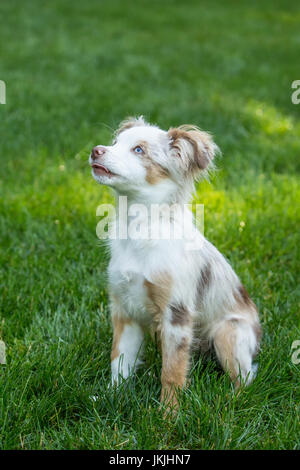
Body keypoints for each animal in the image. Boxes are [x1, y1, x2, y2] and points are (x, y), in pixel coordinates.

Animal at [89, 116, 260, 412]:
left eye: (139, 150)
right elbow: (120, 360)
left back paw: (227, 402)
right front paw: (112, 396)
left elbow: (172, 371)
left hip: (228, 332)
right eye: (115, 143)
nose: (96, 150)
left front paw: (168, 414)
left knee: (246, 377)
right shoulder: (125, 310)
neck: (140, 228)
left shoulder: (176, 315)